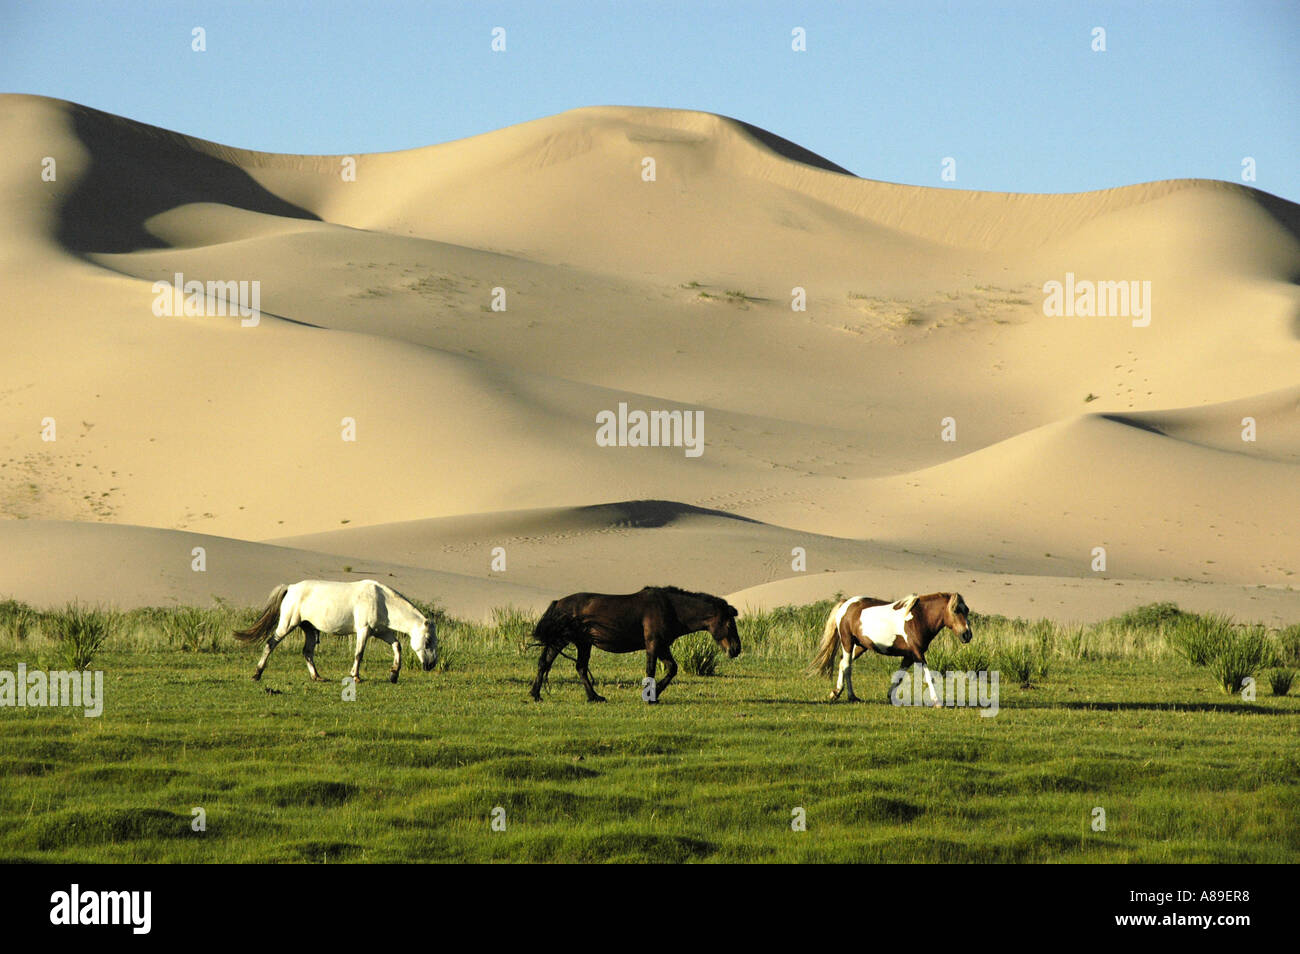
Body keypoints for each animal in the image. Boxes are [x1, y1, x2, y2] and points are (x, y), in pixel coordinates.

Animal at [233, 580, 437, 683]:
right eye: (427, 641)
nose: (431, 665)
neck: (381, 600)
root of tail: (290, 588)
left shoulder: (381, 632)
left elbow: (397, 646)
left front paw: (394, 674)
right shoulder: (364, 631)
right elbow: (359, 654)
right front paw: (355, 676)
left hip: (309, 629)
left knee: (307, 652)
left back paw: (317, 677)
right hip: (287, 625)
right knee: (270, 644)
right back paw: (257, 674)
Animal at [528, 585, 741, 703]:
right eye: (729, 623)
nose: (736, 650)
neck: (670, 608)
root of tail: (558, 603)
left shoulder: (662, 646)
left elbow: (671, 669)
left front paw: (655, 695)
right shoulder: (654, 644)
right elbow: (651, 671)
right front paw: (649, 696)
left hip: (582, 643)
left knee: (571, 666)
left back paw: (590, 697)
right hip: (563, 640)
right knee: (551, 664)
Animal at [809, 592, 972, 706]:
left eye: (967, 610)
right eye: (956, 610)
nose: (967, 634)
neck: (919, 618)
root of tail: (846, 604)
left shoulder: (909, 656)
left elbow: (899, 676)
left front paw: (890, 696)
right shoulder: (918, 654)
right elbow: (928, 676)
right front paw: (936, 700)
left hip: (860, 646)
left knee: (843, 664)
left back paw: (843, 694)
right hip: (847, 642)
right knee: (847, 666)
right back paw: (844, 695)